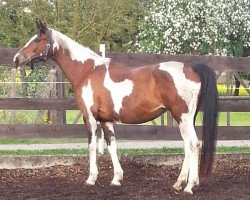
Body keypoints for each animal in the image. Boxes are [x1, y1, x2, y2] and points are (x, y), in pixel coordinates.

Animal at [13, 19, 218, 194]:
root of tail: (191, 68)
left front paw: (91, 178)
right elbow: (112, 145)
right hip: (183, 119)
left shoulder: (89, 117)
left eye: (37, 39)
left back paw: (189, 186)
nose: (17, 59)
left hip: (183, 117)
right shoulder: (106, 120)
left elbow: (91, 145)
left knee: (194, 144)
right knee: (187, 145)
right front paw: (116, 179)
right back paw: (179, 183)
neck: (87, 70)